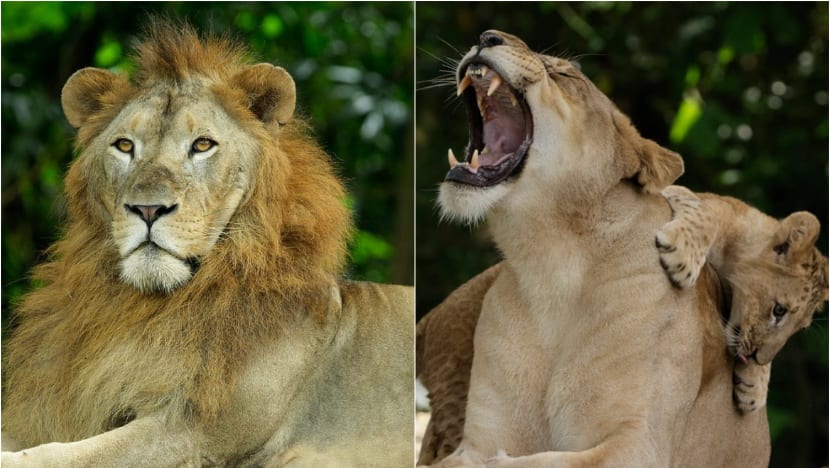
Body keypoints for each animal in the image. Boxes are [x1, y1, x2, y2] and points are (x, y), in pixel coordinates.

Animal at [1, 21, 413, 467]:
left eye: (202, 145)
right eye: (125, 145)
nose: (148, 209)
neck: (151, 305)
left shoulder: (197, 432)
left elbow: (62, 455)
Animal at [421, 30, 771, 467]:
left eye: (564, 73)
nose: (487, 36)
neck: (549, 265)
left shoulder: (639, 443)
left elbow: (544, 460)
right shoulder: (476, 440)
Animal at [656, 185, 828, 413]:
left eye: (799, 328)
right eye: (779, 310)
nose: (759, 359)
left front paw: (756, 386)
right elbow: (704, 210)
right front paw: (683, 256)